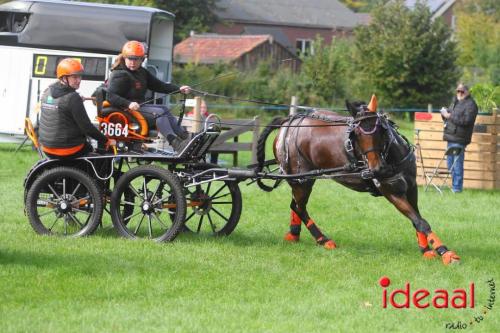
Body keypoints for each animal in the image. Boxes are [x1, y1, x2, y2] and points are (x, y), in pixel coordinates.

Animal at [258, 94, 460, 264]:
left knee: (295, 205)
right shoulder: (391, 193)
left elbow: (417, 218)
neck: (391, 159)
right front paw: (445, 252)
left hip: (304, 179)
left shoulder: (411, 188)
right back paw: (323, 239)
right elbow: (420, 221)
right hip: (302, 180)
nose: (376, 169)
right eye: (356, 134)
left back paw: (294, 234)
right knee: (300, 207)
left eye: (380, 130)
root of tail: (288, 122)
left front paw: (426, 248)